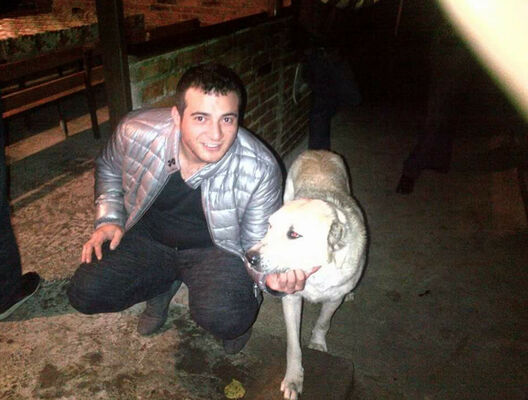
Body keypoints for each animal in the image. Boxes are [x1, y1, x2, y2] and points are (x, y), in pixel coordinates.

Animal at [245, 150, 367, 400]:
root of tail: (318, 151)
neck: (317, 271)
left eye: (294, 234)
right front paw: (293, 379)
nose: (249, 257)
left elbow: (323, 323)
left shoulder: (333, 299)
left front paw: (317, 345)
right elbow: (293, 344)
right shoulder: (291, 298)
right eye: (269, 226)